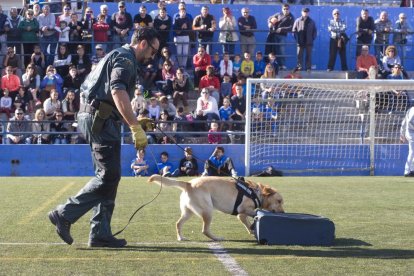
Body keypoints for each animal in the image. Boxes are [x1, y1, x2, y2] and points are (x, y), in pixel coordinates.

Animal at [147, 176, 284, 240]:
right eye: (279, 201)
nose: (283, 212)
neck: (256, 192)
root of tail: (188, 183)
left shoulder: (241, 215)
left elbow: (248, 222)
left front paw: (252, 230)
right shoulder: (243, 211)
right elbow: (253, 214)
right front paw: (253, 226)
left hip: (189, 212)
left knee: (178, 223)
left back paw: (181, 238)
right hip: (208, 210)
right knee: (205, 230)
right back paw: (217, 238)